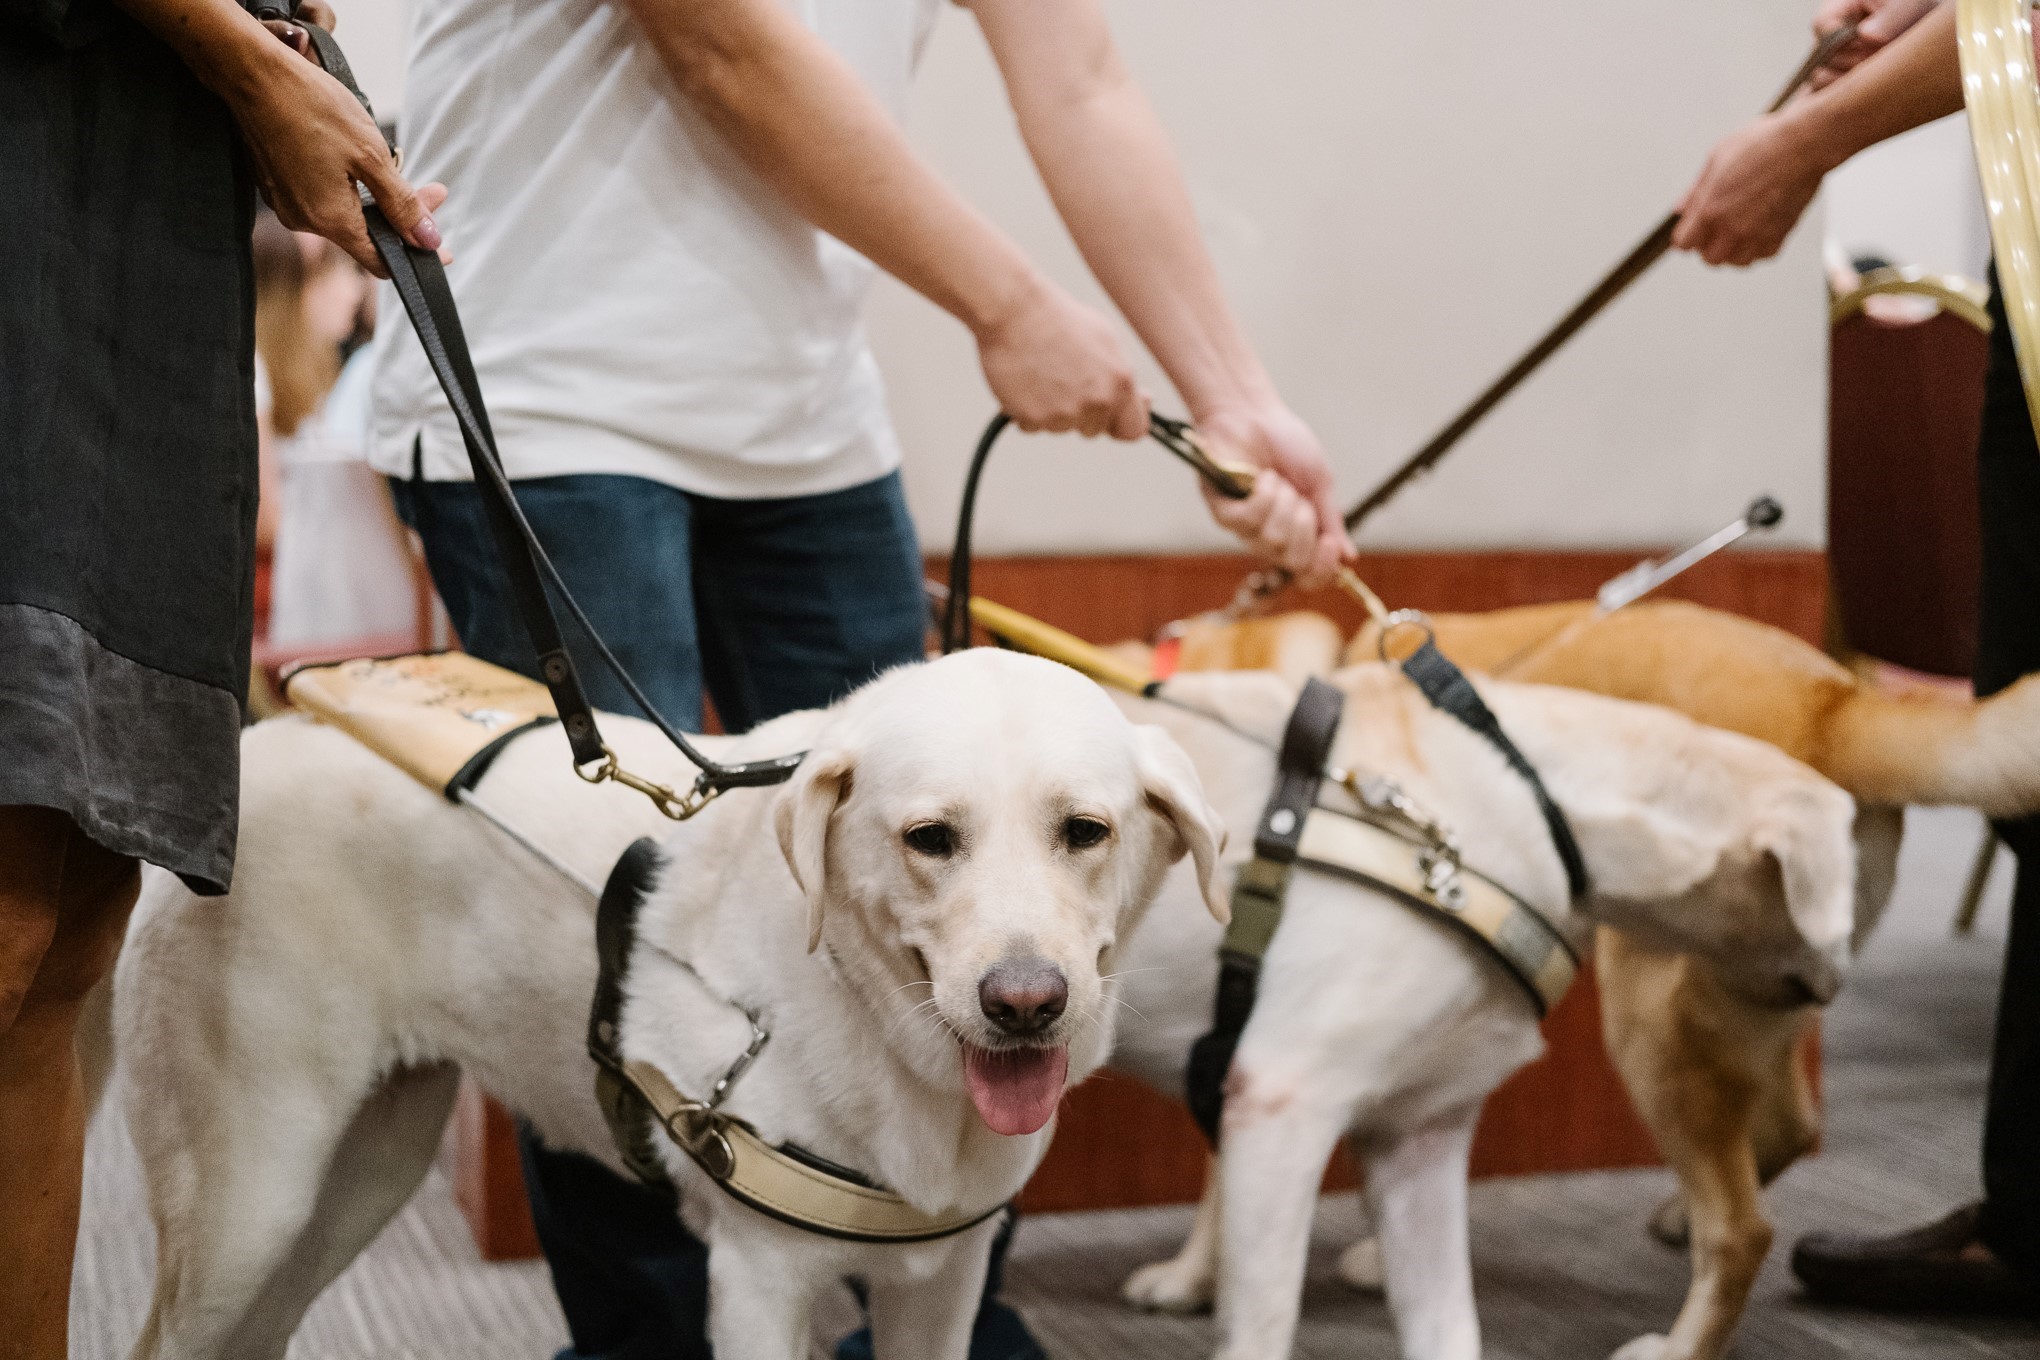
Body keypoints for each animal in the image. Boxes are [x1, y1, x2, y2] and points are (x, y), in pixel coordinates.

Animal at [115, 652, 1224, 1360]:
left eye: (1085, 830)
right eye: (930, 839)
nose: (1025, 1003)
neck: (872, 1019)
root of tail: (259, 741)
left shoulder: (939, 1286)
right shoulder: (760, 1282)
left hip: (358, 1179)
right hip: (247, 1208)